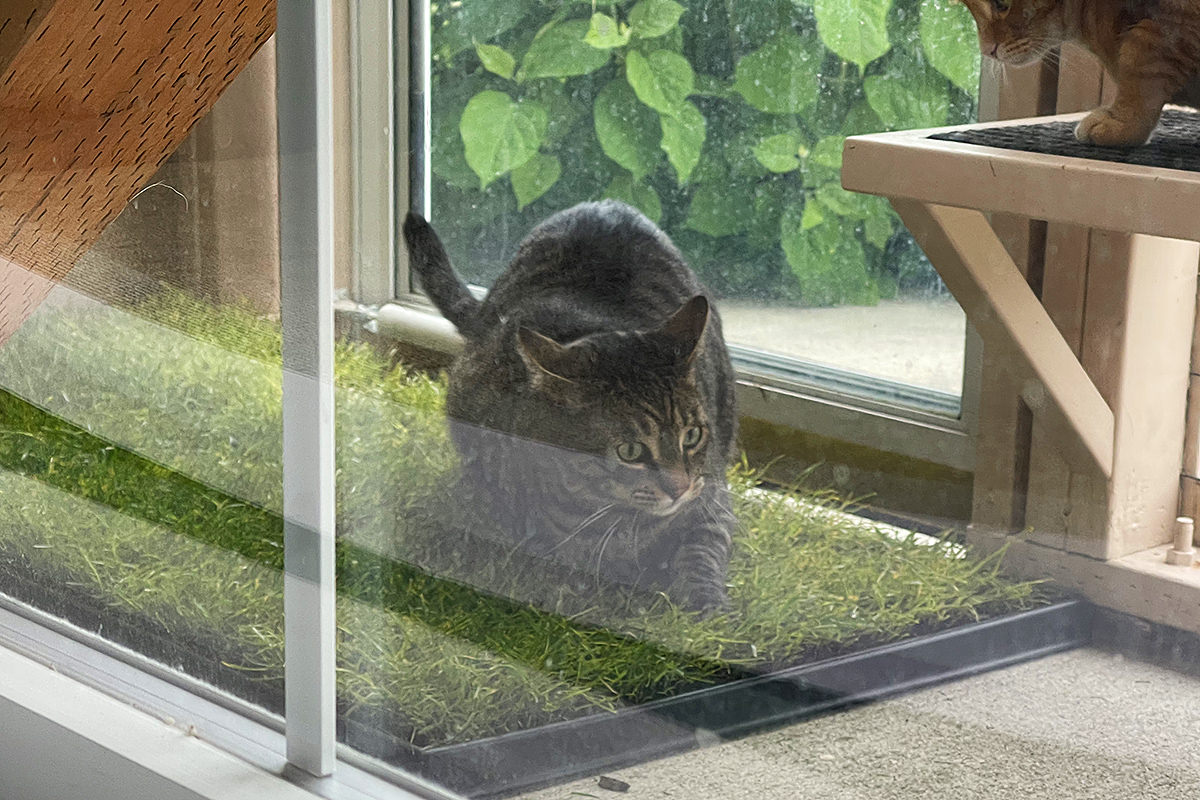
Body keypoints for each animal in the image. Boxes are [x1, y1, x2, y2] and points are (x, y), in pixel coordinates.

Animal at [403, 200, 734, 614]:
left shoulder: (713, 496)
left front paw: (710, 608)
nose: (680, 487)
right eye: (629, 451)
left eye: (692, 436)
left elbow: (703, 550)